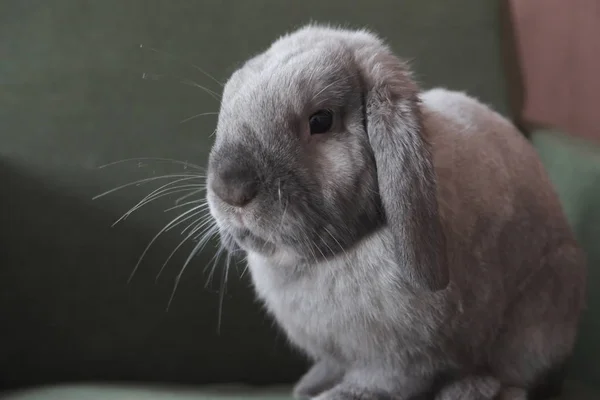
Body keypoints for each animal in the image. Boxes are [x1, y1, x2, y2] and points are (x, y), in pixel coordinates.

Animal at [205, 25, 584, 400]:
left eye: (321, 120)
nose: (230, 187)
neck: (327, 256)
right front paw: (313, 385)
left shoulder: (402, 357)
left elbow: (387, 380)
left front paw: (344, 394)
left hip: (539, 316)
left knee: (516, 378)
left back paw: (470, 390)